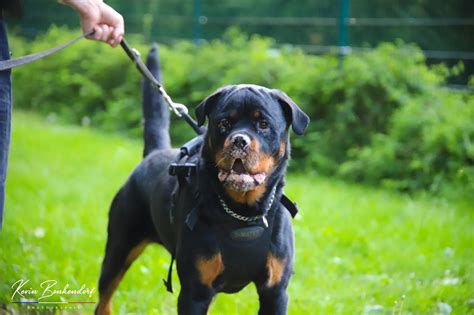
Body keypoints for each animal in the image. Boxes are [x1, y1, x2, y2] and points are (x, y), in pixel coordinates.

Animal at [95, 45, 312, 315]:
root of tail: (154, 153)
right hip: (119, 246)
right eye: (224, 123)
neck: (243, 213)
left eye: (263, 124)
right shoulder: (195, 292)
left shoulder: (275, 291)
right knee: (105, 295)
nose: (239, 141)